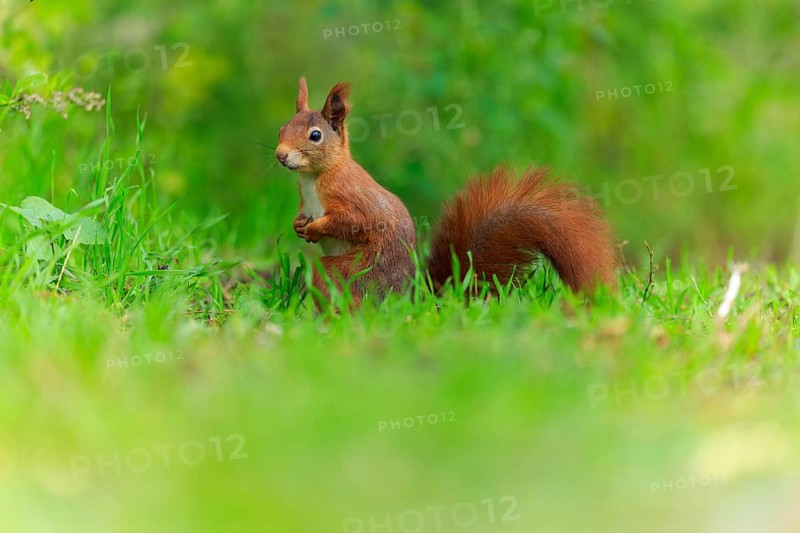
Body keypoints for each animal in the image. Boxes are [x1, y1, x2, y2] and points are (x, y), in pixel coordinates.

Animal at [275, 78, 619, 306]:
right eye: (282, 129)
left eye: (315, 136)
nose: (280, 155)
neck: (314, 177)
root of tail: (408, 299)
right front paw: (298, 224)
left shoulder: (352, 197)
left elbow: (354, 221)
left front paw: (316, 228)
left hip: (352, 274)